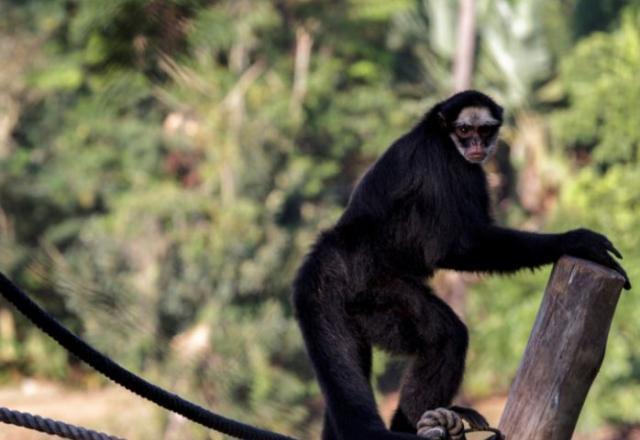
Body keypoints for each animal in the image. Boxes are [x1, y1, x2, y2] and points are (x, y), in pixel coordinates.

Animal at [292, 90, 632, 440]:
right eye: (464, 130)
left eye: (484, 130)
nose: (476, 145)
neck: (438, 134)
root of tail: (333, 246)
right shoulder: (444, 163)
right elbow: (455, 248)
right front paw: (573, 241)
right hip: (373, 290)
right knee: (446, 336)